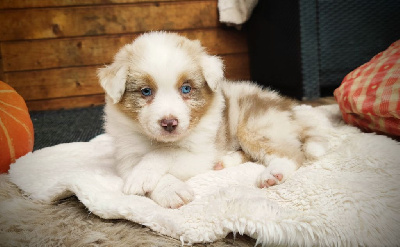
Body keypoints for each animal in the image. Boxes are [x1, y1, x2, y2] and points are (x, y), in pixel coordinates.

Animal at [98, 31, 330, 208]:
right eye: (146, 91)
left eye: (186, 88)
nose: (169, 123)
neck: (157, 141)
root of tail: (287, 105)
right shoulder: (127, 156)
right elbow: (146, 161)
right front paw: (168, 190)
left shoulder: (200, 153)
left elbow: (165, 153)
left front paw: (147, 178)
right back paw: (225, 162)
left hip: (255, 127)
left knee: (293, 154)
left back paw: (273, 173)